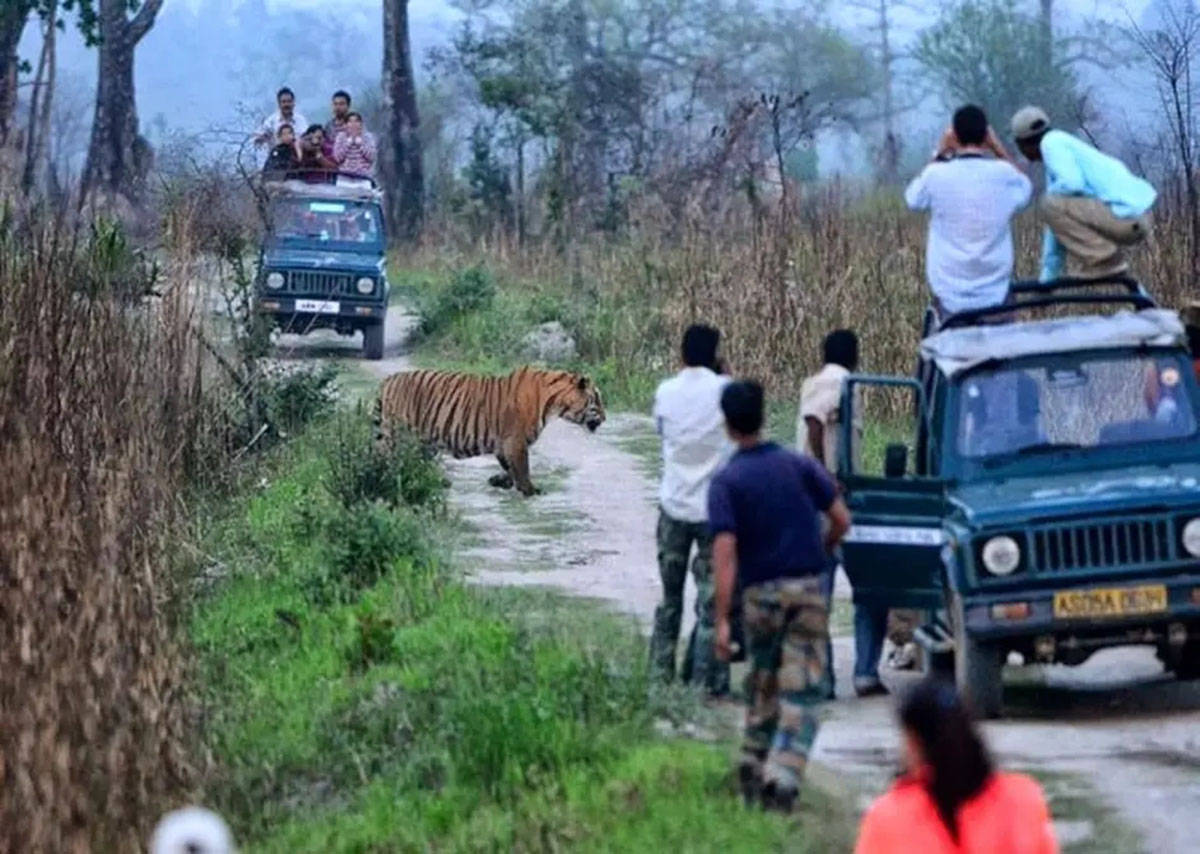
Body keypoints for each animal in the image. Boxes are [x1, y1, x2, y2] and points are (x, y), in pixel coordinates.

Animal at [374, 364, 604, 496]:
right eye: (597, 400)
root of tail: (388, 380)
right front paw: (530, 490)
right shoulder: (516, 441)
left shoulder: (504, 444)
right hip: (398, 436)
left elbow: (509, 468)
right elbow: (522, 468)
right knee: (388, 460)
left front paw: (499, 481)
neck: (554, 402)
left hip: (422, 442)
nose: (605, 417)